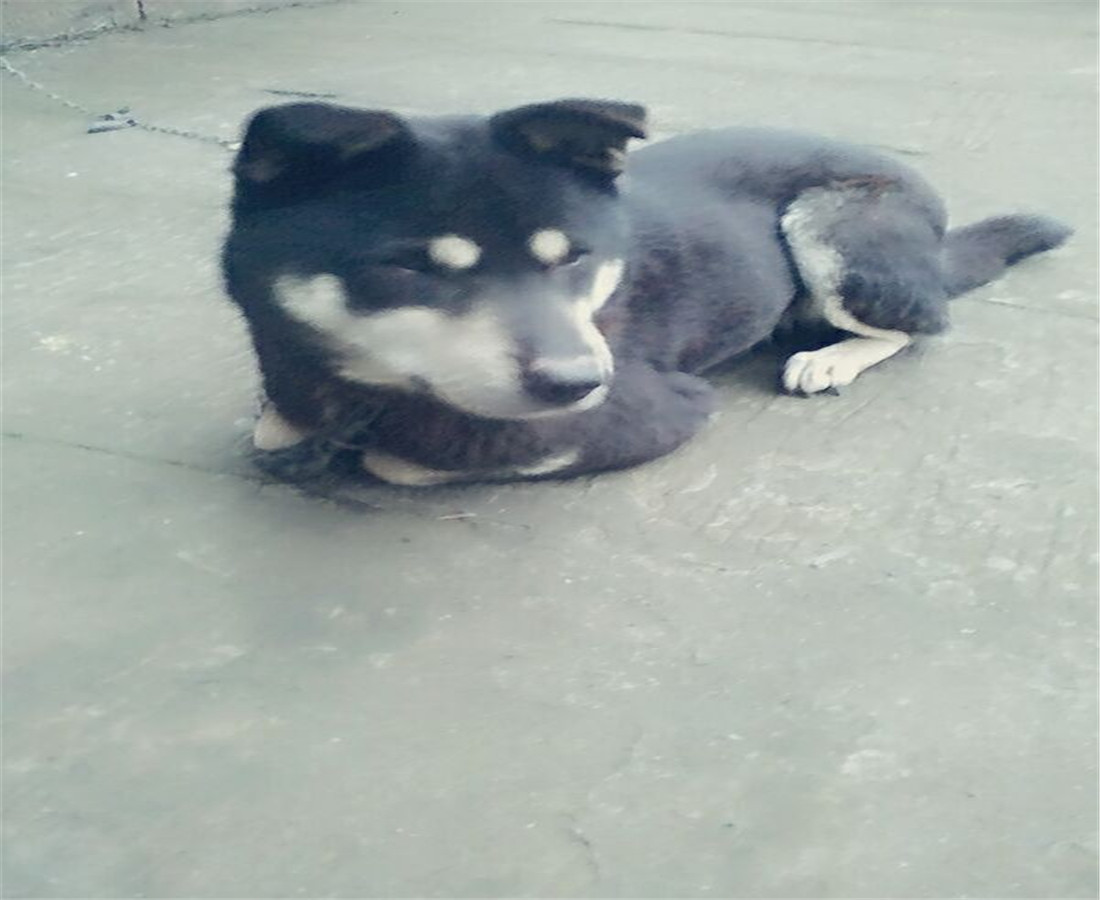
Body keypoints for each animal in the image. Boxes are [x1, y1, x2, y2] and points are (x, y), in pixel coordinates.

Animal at [221, 99, 1071, 486]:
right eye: (415, 269)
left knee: (921, 321)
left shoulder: (644, 414)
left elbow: (403, 459)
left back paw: (831, 356)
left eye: (573, 258)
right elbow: (275, 426)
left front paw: (376, 450)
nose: (579, 381)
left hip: (838, 233)